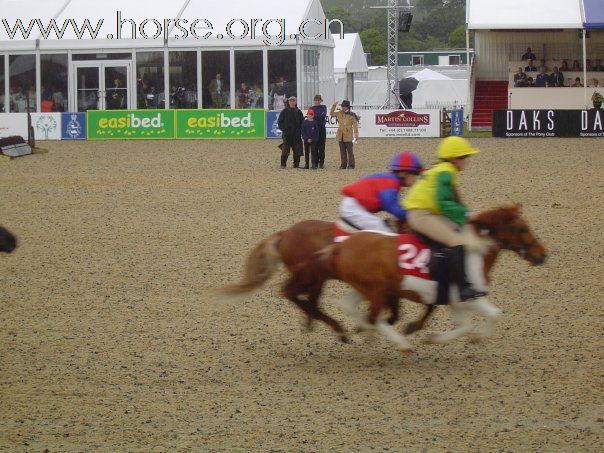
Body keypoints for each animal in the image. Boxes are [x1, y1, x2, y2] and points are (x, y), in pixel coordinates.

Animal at [284, 205, 548, 350]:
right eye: (522, 228)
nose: (542, 255)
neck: (474, 251)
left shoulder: (456, 300)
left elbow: (466, 324)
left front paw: (435, 338)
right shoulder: (467, 296)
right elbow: (492, 314)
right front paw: (474, 338)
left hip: (365, 287)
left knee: (350, 307)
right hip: (374, 289)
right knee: (371, 317)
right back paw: (392, 341)